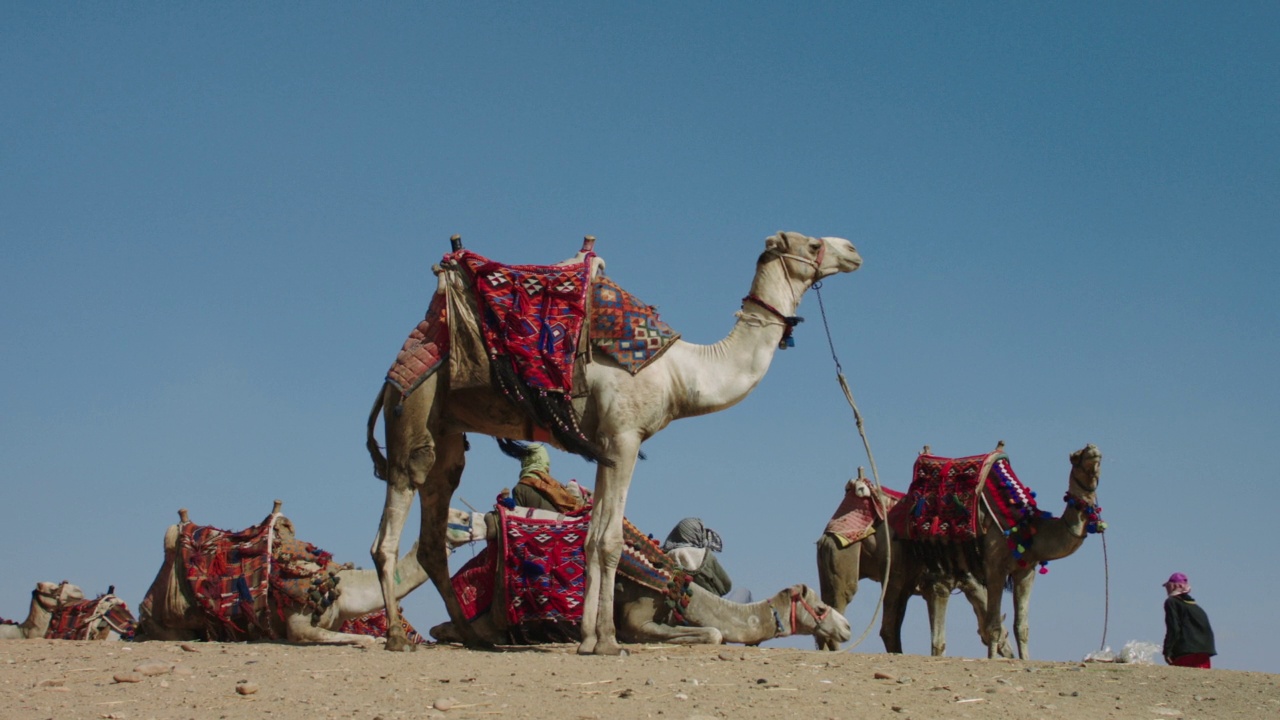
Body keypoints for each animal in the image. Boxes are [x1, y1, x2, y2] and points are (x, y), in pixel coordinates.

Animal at [371, 229, 870, 650]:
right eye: (811, 245)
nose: (852, 249)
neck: (681, 374)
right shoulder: (626, 438)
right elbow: (609, 540)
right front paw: (609, 641)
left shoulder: (605, 448)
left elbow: (592, 537)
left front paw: (589, 639)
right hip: (414, 410)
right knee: (392, 521)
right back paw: (396, 636)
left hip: (449, 434)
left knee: (435, 524)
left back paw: (474, 636)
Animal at [814, 474, 1013, 653]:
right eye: (1006, 633)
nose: (1010, 653)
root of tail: (826, 536)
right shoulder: (939, 585)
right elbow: (938, 642)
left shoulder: (928, 590)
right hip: (852, 560)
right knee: (852, 605)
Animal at [880, 443, 1100, 655]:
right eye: (1077, 456)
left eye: (1096, 453)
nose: (1094, 450)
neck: (1024, 528)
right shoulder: (992, 567)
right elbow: (992, 626)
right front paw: (993, 658)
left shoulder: (1026, 570)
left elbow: (1022, 626)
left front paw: (1024, 659)